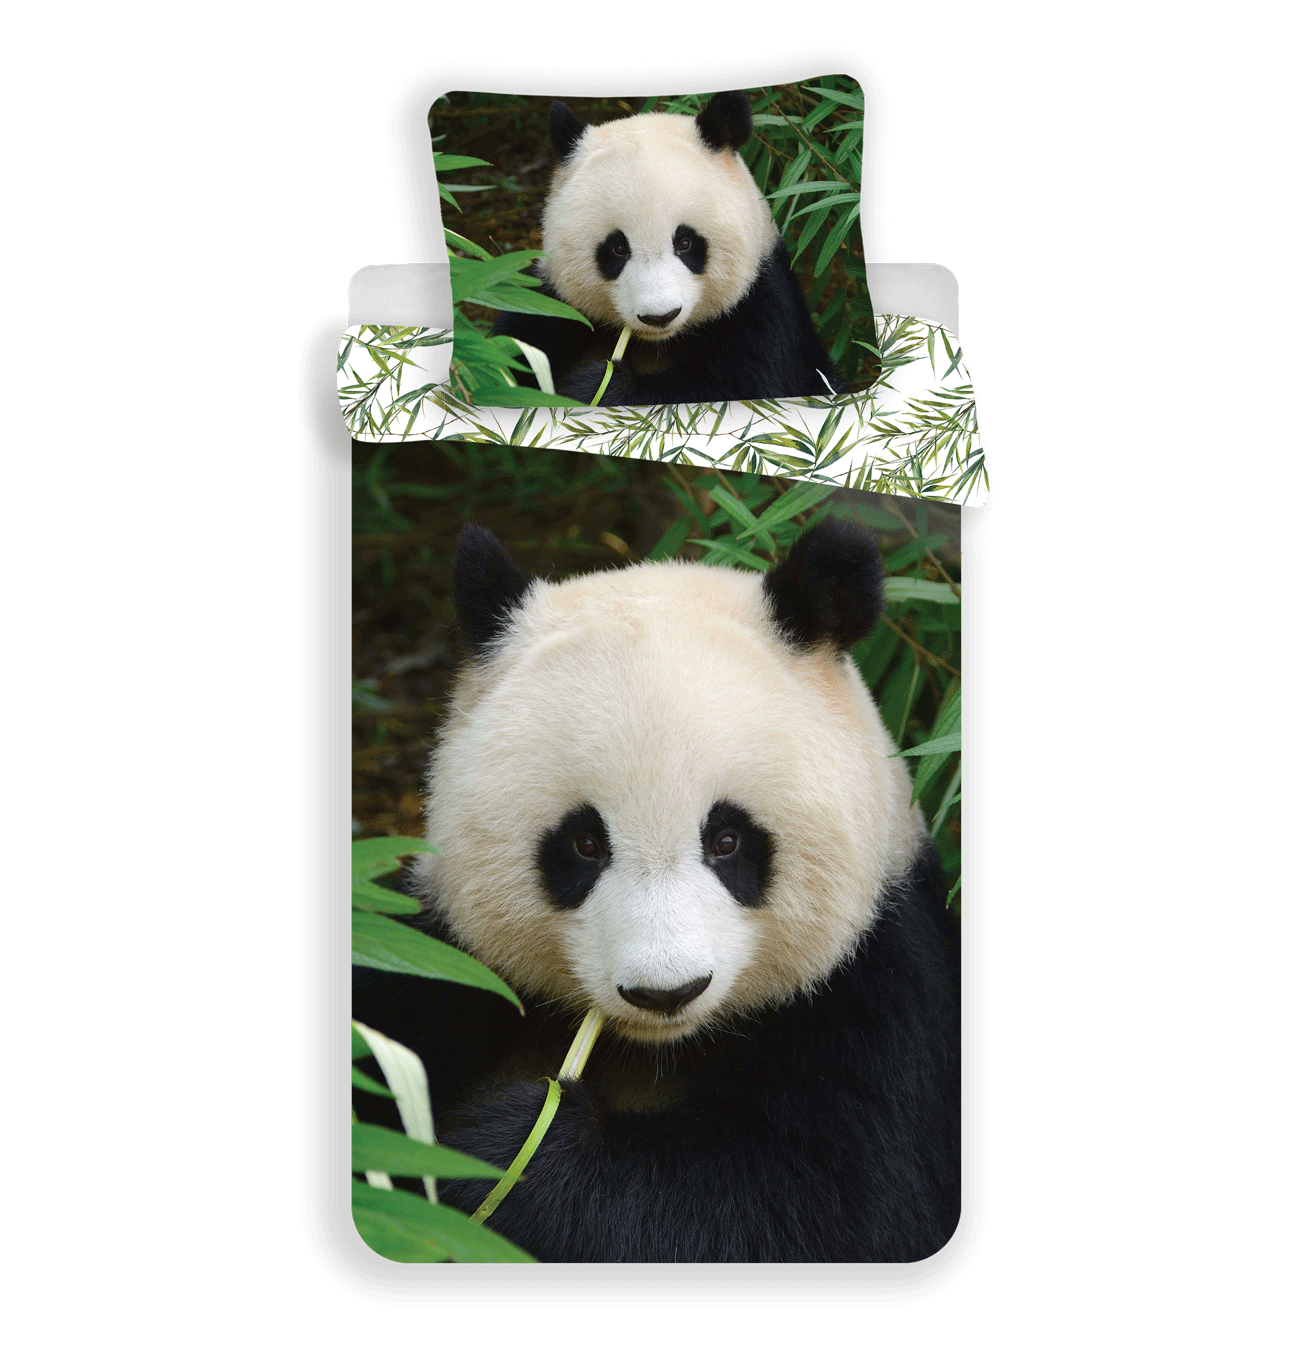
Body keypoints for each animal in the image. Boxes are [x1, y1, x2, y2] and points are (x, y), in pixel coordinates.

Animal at [353, 517, 960, 1263]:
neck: (655, 1046)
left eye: (727, 840)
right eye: (584, 844)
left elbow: (812, 1208)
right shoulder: (440, 959)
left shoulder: (881, 994)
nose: (666, 992)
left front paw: (509, 1151)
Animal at [491, 90, 846, 406]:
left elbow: (735, 388)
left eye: (685, 243)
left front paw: (598, 387)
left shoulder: (762, 310)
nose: (660, 316)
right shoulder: (549, 307)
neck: (657, 343)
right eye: (617, 249)